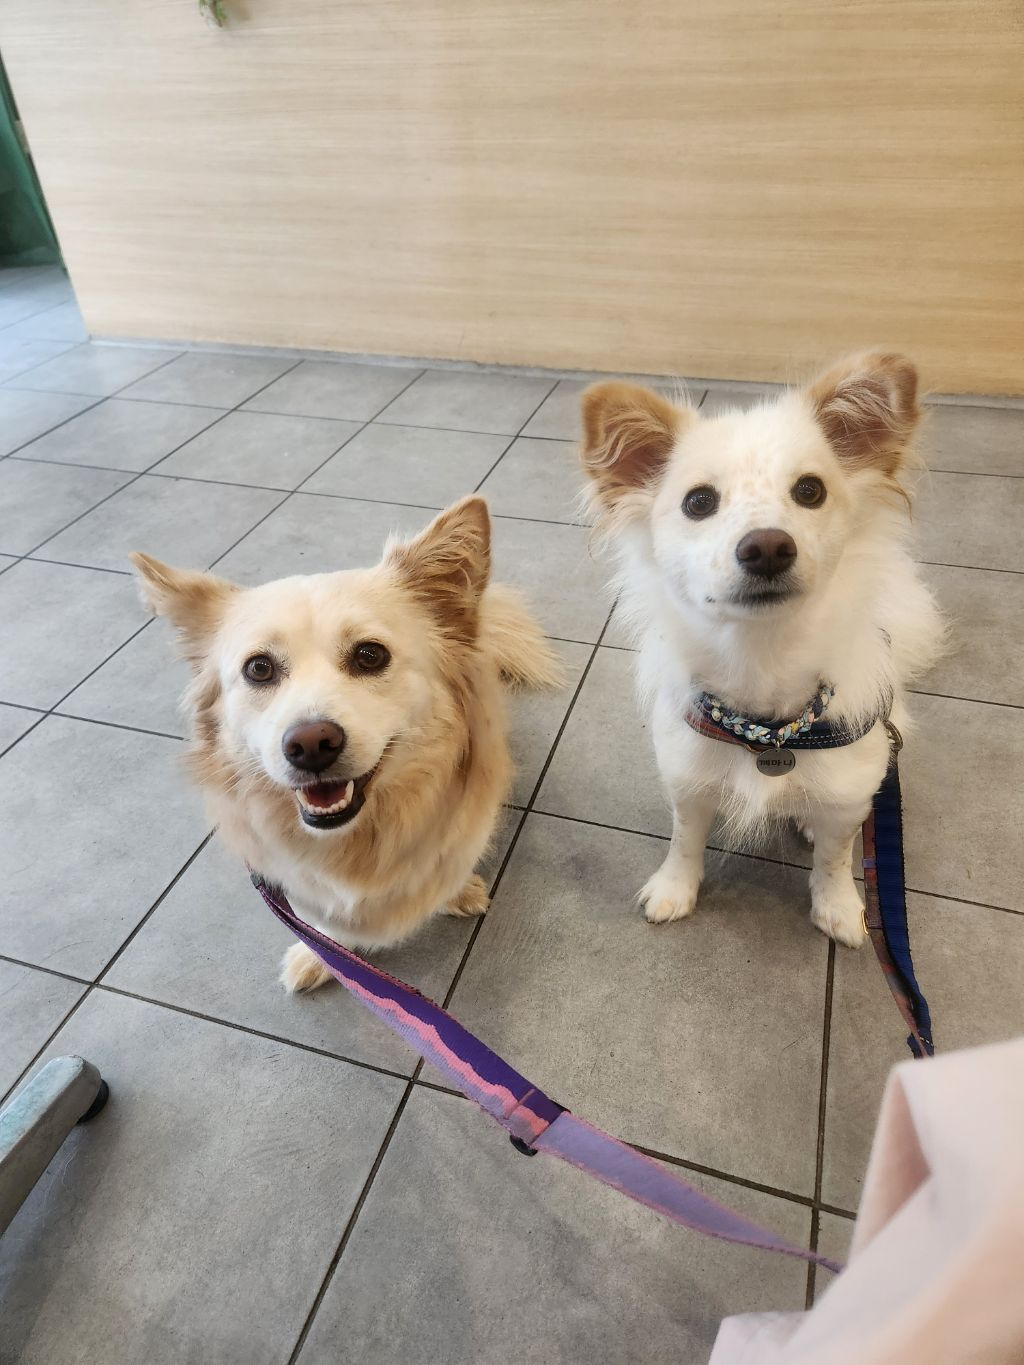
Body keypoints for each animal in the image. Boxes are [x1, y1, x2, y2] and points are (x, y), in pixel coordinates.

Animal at [132, 496, 560, 991]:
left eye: (370, 655)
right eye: (259, 668)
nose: (310, 744)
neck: (359, 842)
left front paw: (460, 892)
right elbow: (323, 924)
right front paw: (318, 956)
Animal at [579, 351, 944, 947]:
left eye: (811, 490)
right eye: (698, 502)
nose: (768, 546)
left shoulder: (851, 792)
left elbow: (835, 857)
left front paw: (839, 909)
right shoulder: (686, 774)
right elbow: (685, 838)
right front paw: (674, 890)